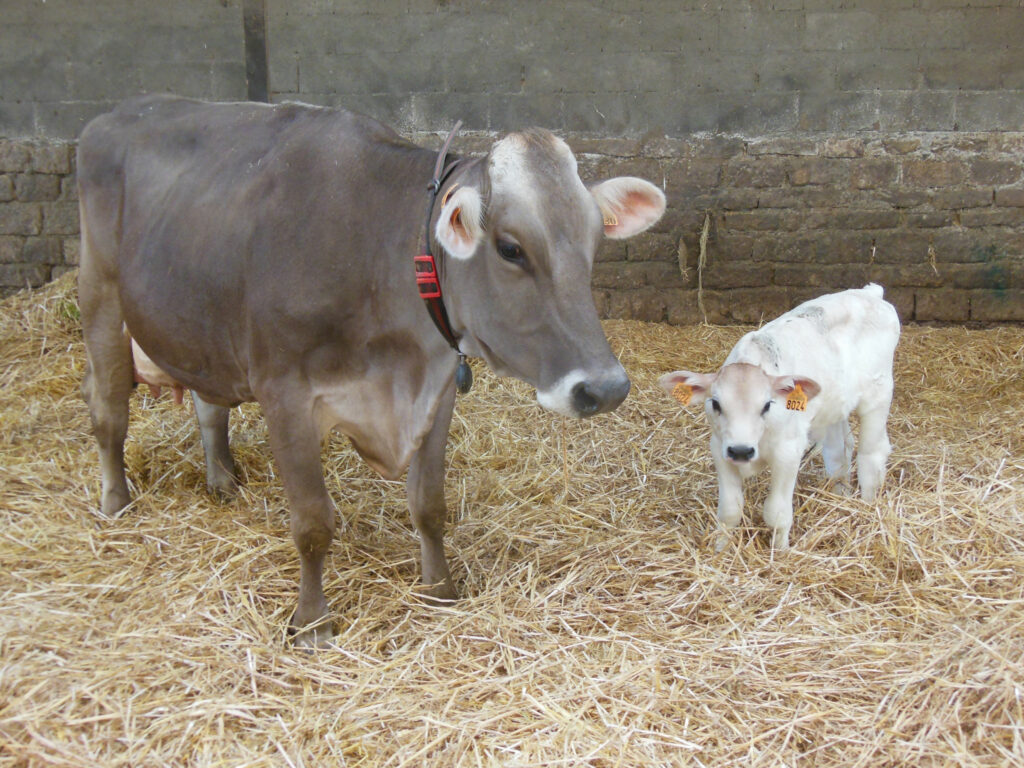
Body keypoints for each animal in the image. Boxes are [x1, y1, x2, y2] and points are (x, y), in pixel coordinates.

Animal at [74, 97, 663, 651]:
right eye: (510, 248)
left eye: (593, 244)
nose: (606, 388)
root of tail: (117, 113)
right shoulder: (284, 393)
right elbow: (312, 523)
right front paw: (313, 623)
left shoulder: (437, 388)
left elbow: (429, 504)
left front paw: (440, 589)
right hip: (100, 295)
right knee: (108, 412)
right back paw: (115, 503)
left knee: (208, 402)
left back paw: (221, 479)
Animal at [659, 286, 901, 548]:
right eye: (715, 403)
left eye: (767, 405)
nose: (741, 451)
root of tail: (869, 292)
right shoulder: (720, 448)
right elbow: (730, 510)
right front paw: (720, 548)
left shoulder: (789, 451)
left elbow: (776, 513)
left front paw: (780, 551)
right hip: (835, 404)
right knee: (840, 449)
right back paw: (841, 494)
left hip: (878, 394)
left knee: (872, 453)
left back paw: (867, 507)